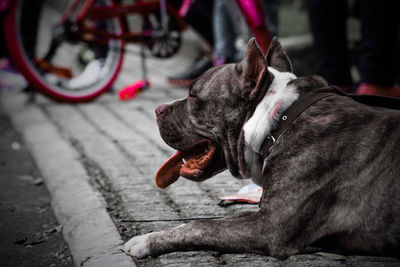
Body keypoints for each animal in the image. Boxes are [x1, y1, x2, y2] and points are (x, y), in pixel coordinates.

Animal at [124, 37, 400, 260]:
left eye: (192, 95)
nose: (158, 109)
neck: (279, 121)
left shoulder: (271, 226)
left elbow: (200, 226)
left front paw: (146, 241)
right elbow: (220, 220)